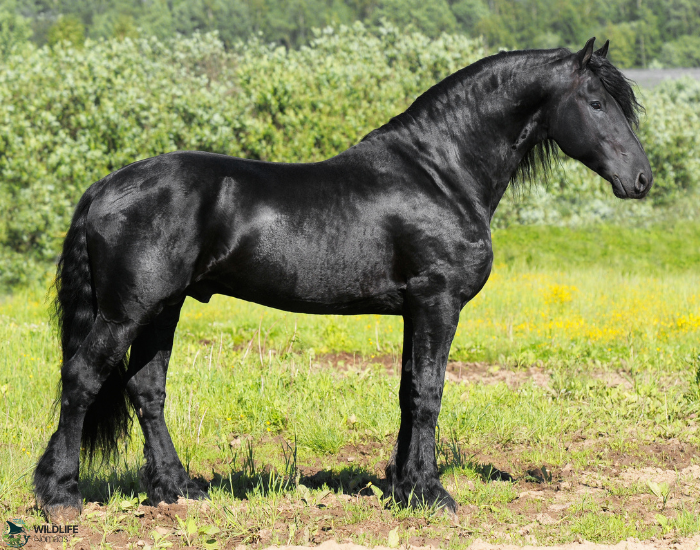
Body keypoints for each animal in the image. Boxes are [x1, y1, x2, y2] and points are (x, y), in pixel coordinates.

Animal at [35, 37, 652, 518]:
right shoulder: (438, 302)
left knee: (146, 389)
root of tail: (105, 187)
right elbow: (429, 393)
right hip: (128, 311)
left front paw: (403, 486)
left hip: (164, 308)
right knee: (82, 378)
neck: (440, 173)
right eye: (595, 102)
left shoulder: (414, 310)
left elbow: (407, 391)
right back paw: (60, 496)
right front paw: (432, 494)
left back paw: (176, 489)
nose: (641, 179)